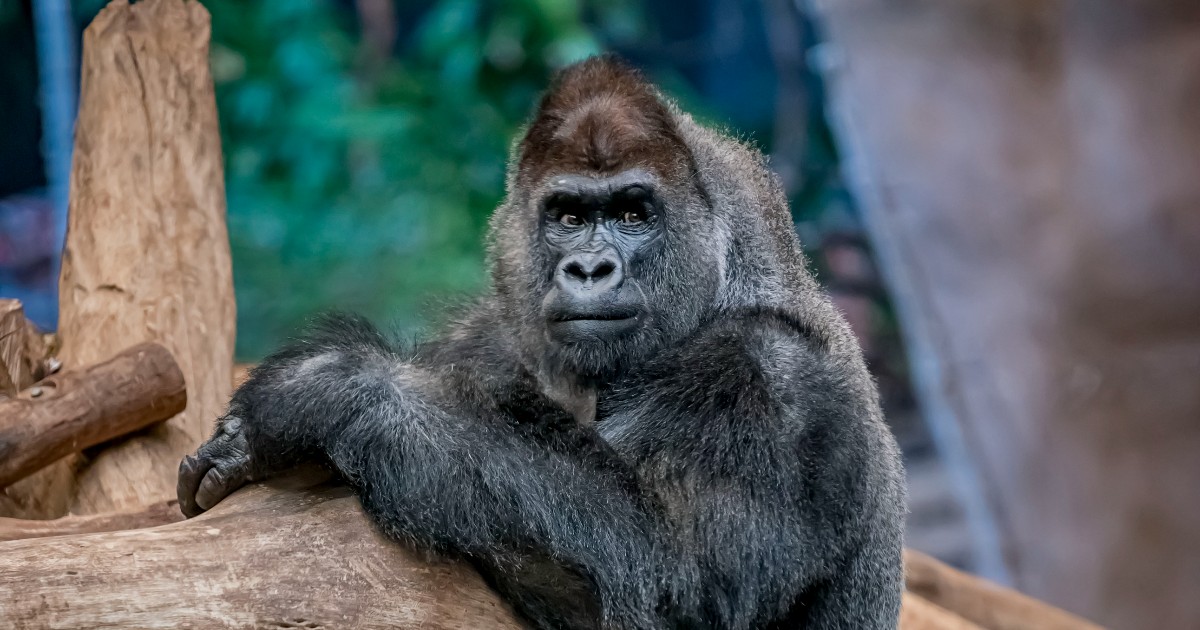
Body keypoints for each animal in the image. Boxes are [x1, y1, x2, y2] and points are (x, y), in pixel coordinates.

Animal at [178, 55, 905, 630]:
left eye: (634, 213)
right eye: (569, 216)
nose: (587, 269)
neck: (737, 280)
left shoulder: (771, 377)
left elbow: (669, 585)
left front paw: (323, 389)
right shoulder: (496, 332)